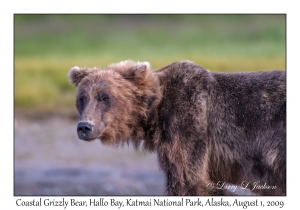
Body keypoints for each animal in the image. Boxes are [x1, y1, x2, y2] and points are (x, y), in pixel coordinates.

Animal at [68, 60, 286, 196]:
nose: (85, 127)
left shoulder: (187, 122)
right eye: (82, 98)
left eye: (105, 97)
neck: (154, 113)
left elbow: (189, 181)